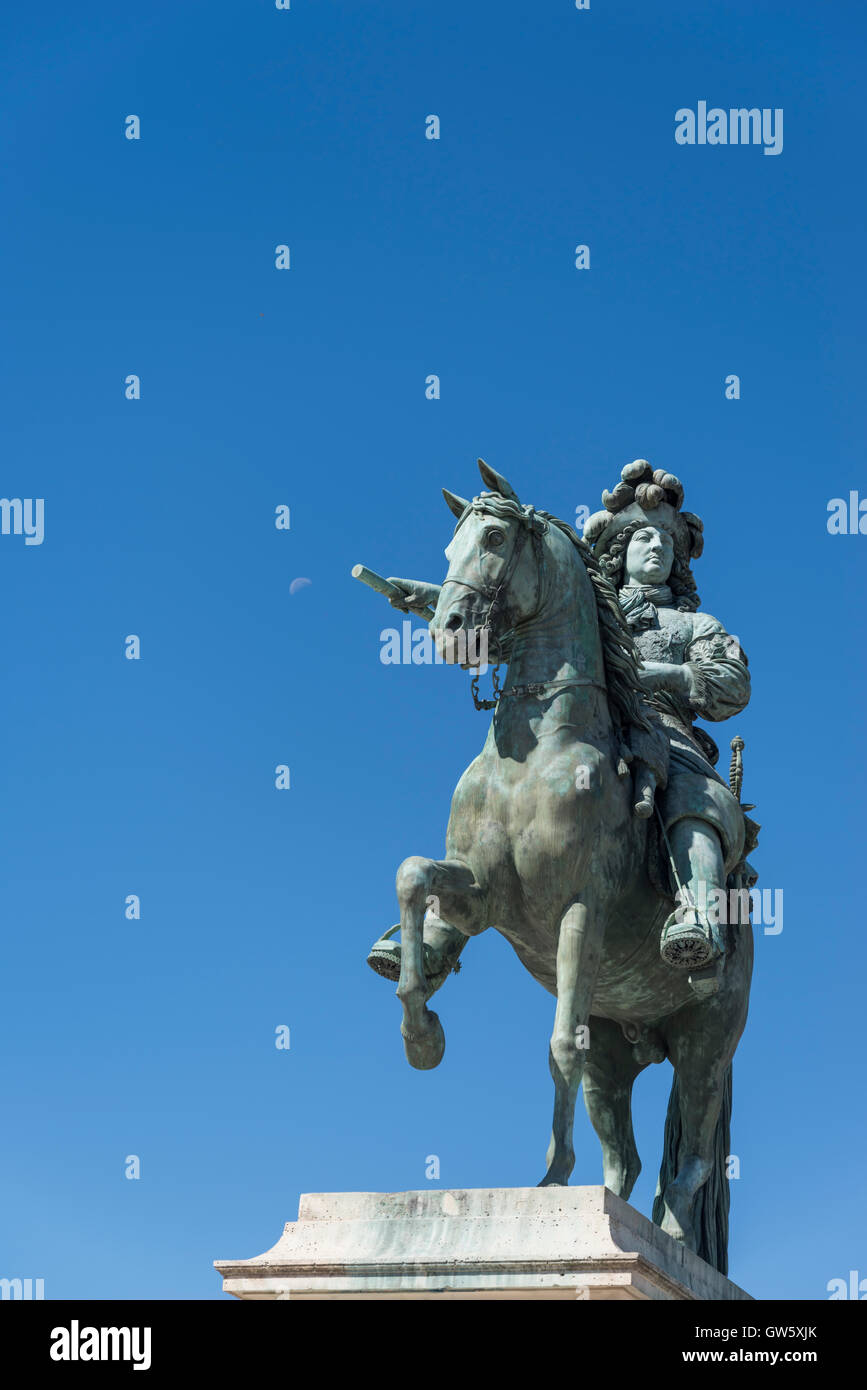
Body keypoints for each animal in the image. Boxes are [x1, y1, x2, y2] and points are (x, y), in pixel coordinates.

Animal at [386, 461, 750, 1273]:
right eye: (451, 543)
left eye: (494, 537)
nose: (446, 628)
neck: (534, 750)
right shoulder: (482, 900)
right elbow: (413, 875)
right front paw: (421, 1032)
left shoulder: (577, 911)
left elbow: (557, 1042)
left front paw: (552, 1178)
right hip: (615, 1052)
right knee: (627, 1156)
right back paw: (615, 1207)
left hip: (707, 1040)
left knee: (692, 1159)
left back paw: (673, 1237)